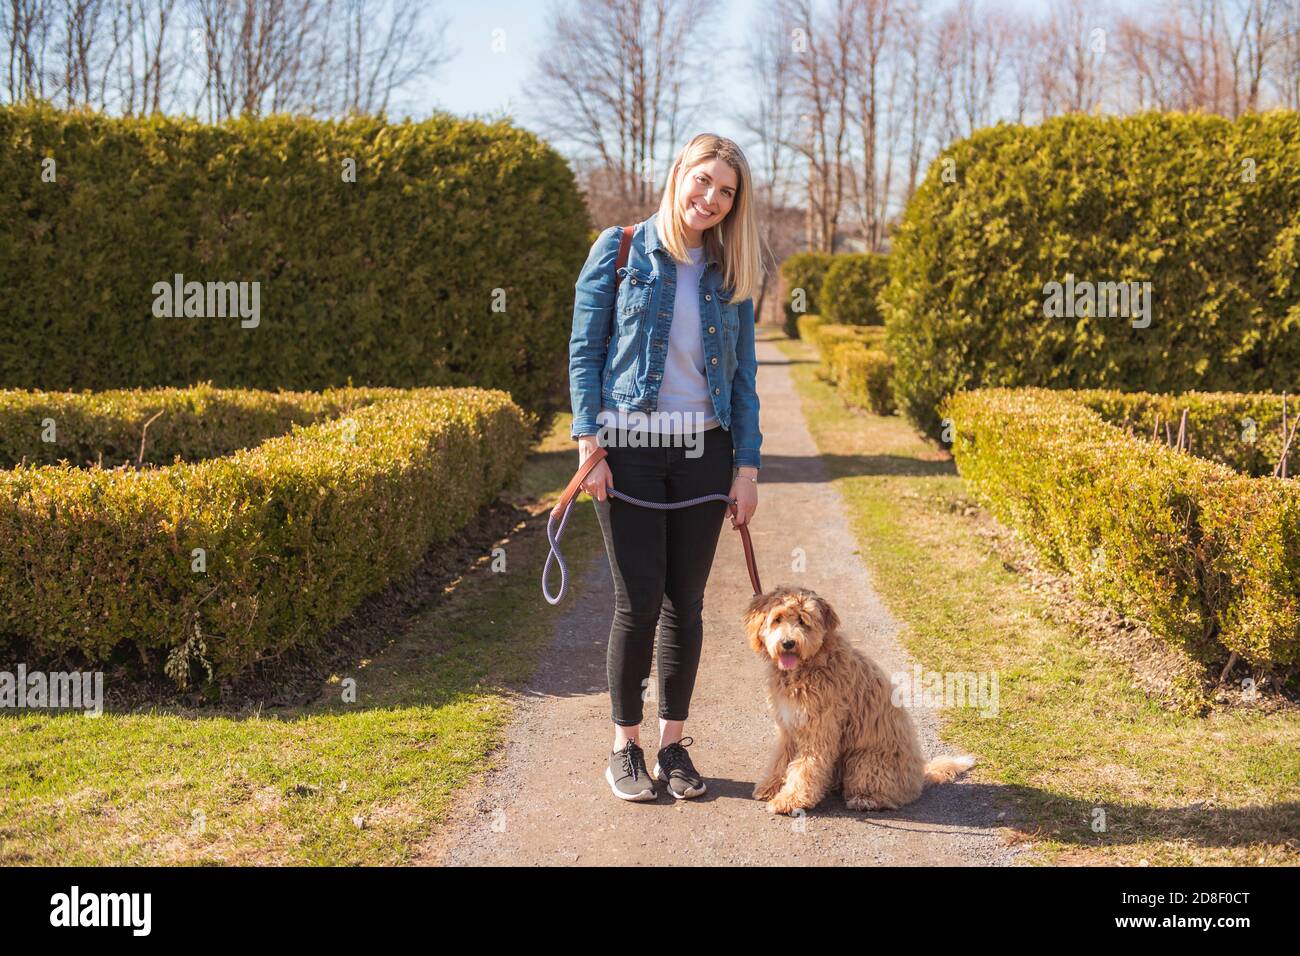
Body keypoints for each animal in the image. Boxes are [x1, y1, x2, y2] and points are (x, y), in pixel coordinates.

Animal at [748, 582, 972, 816]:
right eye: (777, 619)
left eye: (803, 620)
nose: (788, 643)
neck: (808, 666)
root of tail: (918, 777)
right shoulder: (788, 727)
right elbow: (781, 760)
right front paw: (769, 787)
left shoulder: (819, 729)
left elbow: (806, 766)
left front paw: (790, 800)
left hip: (866, 760)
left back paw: (865, 799)